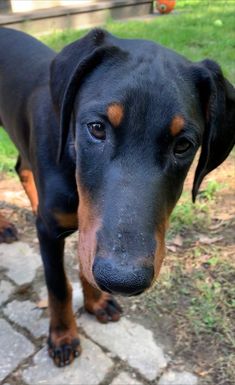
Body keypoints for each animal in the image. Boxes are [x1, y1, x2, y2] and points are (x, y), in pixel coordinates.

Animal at [0, 27, 234, 366]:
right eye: (97, 128)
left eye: (183, 145)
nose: (123, 280)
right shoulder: (50, 231)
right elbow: (58, 285)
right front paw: (63, 336)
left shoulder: (89, 228)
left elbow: (85, 259)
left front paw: (96, 300)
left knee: (22, 167)